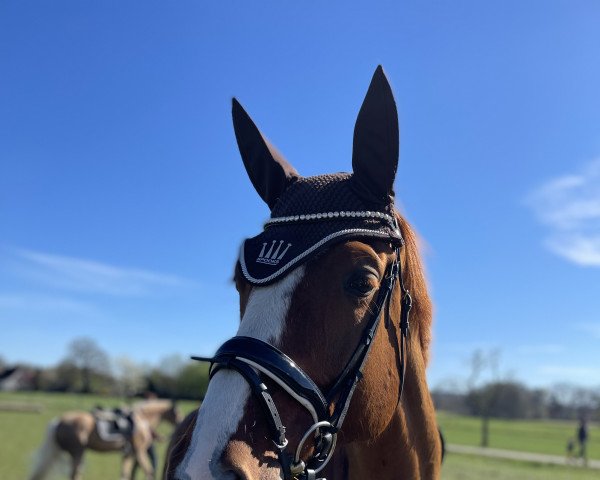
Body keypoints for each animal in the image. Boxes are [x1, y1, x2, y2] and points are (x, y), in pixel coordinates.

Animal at [29, 398, 180, 480]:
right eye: (177, 412)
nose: (180, 422)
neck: (142, 419)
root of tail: (59, 421)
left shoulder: (129, 454)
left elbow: (125, 474)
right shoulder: (139, 451)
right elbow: (148, 472)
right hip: (78, 452)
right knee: (75, 474)